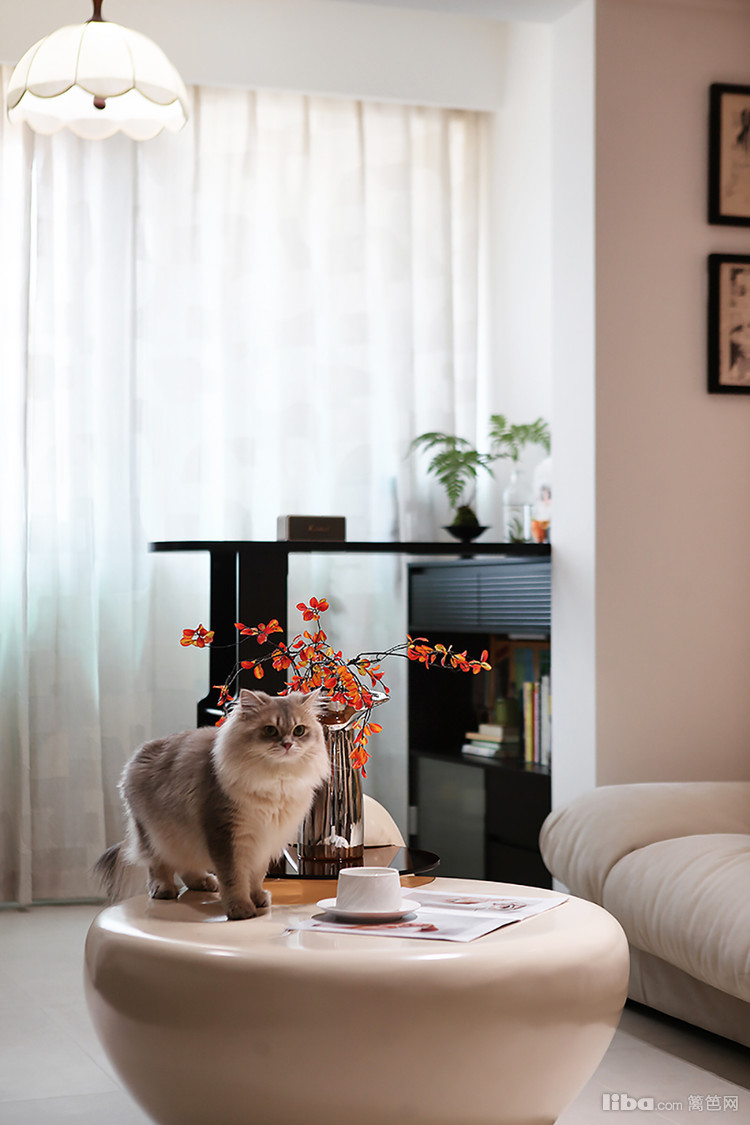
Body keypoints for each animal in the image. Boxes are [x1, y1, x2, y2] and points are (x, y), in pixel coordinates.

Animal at [93, 688, 329, 920]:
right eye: (271, 730)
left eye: (299, 730)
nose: (288, 744)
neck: (276, 780)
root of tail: (138, 755)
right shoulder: (227, 833)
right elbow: (235, 877)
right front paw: (241, 908)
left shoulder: (264, 839)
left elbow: (255, 876)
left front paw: (258, 898)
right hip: (154, 833)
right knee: (158, 864)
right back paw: (164, 889)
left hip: (183, 836)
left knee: (186, 866)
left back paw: (204, 882)